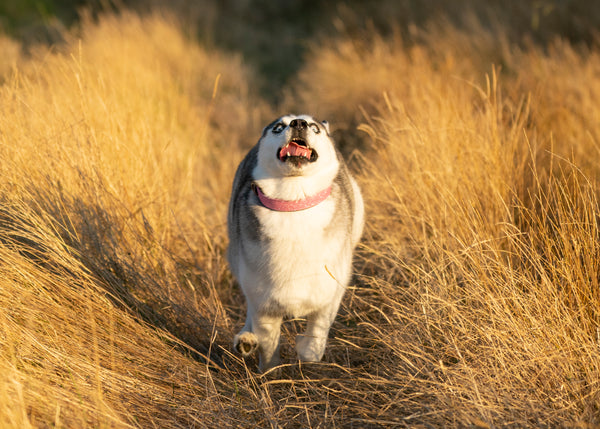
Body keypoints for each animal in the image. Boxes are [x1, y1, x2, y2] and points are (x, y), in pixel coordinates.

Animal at [227, 113, 364, 372]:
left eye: (314, 127)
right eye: (278, 127)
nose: (298, 123)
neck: (294, 202)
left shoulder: (330, 293)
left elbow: (316, 335)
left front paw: (307, 352)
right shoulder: (264, 303)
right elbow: (269, 343)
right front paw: (270, 371)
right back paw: (246, 338)